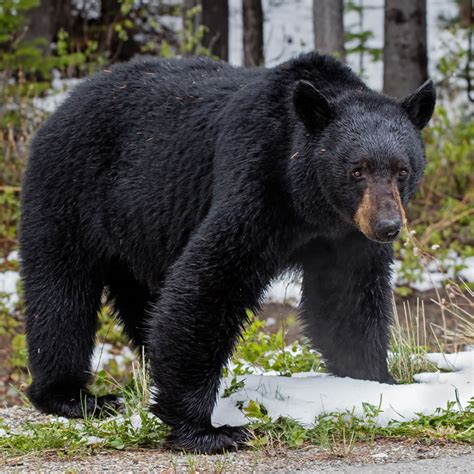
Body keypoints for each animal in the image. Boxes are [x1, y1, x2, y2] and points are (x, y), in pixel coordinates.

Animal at [20, 51, 436, 452]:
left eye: (402, 169)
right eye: (356, 170)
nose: (387, 226)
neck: (310, 205)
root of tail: (64, 103)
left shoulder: (345, 237)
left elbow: (348, 301)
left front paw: (377, 381)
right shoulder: (256, 181)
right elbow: (211, 281)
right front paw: (207, 429)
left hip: (138, 234)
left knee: (146, 303)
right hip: (69, 190)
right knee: (61, 295)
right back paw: (73, 396)